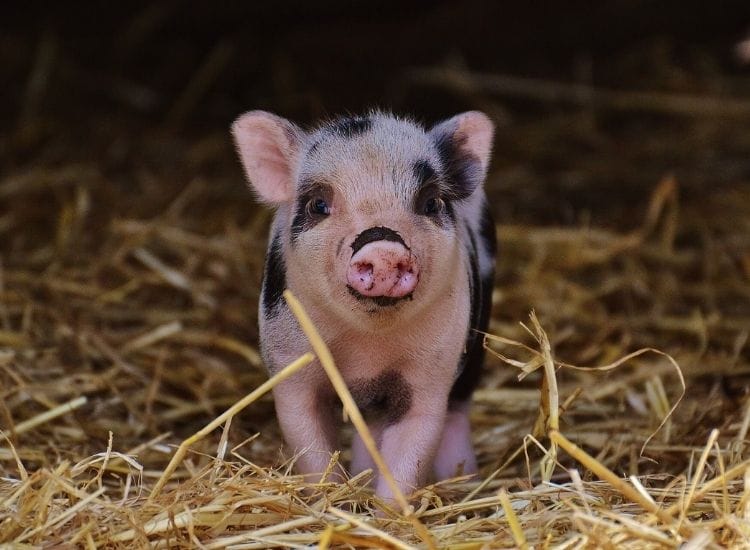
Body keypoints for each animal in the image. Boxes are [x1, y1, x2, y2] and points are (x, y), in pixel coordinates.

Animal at [231, 110, 496, 502]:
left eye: (430, 203)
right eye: (318, 204)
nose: (383, 247)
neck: (367, 350)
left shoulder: (431, 372)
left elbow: (411, 450)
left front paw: (388, 511)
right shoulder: (290, 364)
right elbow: (310, 445)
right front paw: (331, 500)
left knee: (457, 410)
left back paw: (462, 481)